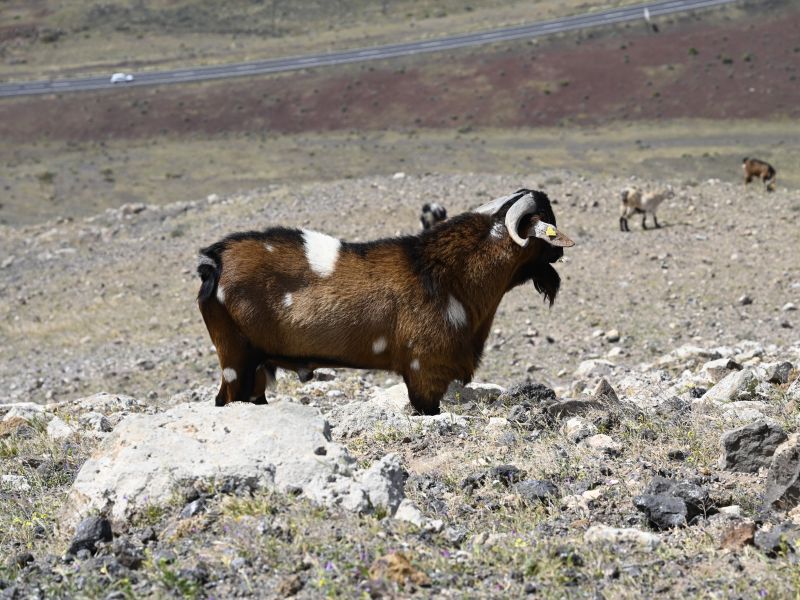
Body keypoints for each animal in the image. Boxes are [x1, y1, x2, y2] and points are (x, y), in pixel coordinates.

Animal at [197, 189, 574, 415]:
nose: (560, 251)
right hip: (237, 359)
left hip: (258, 366)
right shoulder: (425, 370)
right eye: (548, 226)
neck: (447, 273)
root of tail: (213, 262)